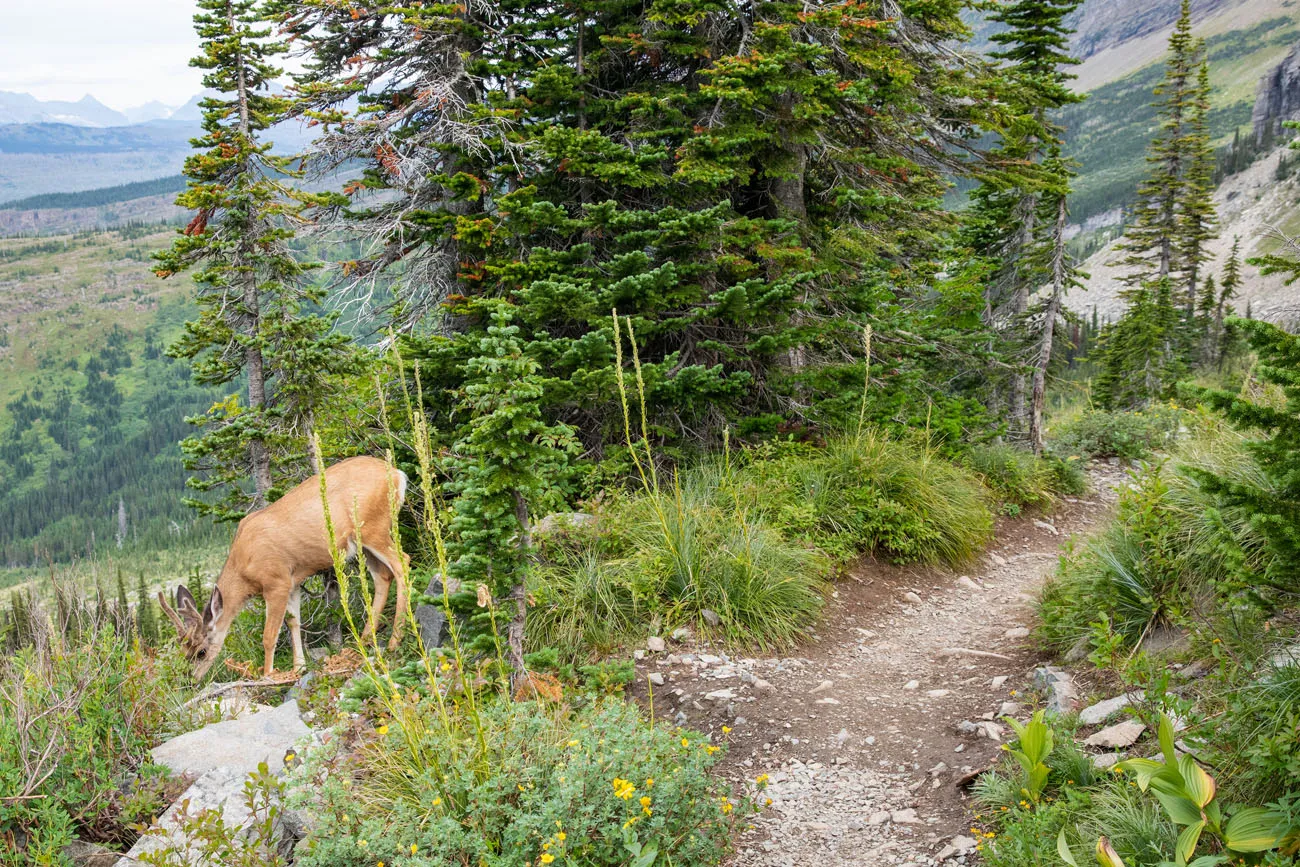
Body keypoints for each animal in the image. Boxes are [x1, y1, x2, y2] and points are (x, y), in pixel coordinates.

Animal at [159, 457, 408, 681]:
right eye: (184, 651)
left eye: (201, 652)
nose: (192, 680)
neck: (244, 568)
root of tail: (397, 474)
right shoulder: (294, 582)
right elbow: (293, 622)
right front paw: (299, 667)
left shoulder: (276, 581)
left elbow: (269, 635)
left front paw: (269, 674)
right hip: (363, 544)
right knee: (383, 576)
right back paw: (364, 641)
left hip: (374, 527)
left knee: (402, 564)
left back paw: (394, 641)